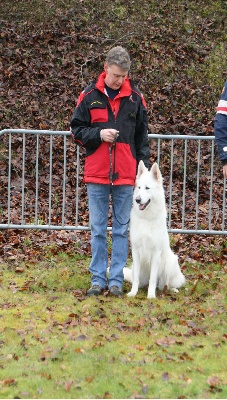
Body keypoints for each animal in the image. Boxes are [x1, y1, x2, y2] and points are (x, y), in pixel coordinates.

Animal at [124, 161, 186, 298]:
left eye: (147, 188)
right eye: (139, 188)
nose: (137, 199)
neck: (146, 219)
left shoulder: (156, 253)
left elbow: (153, 278)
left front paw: (151, 296)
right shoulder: (136, 252)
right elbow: (136, 279)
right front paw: (133, 293)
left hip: (170, 263)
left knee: (164, 285)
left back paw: (171, 290)